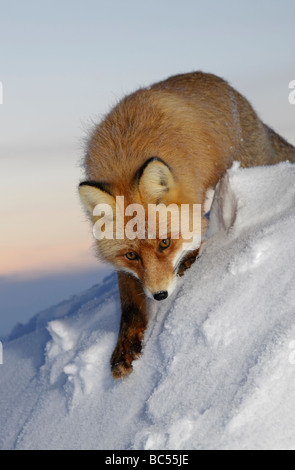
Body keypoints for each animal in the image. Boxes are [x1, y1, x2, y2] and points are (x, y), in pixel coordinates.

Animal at [79, 70, 295, 378]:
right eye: (131, 255)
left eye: (165, 243)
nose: (159, 295)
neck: (126, 154)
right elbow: (129, 303)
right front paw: (125, 347)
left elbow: (196, 235)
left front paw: (189, 260)